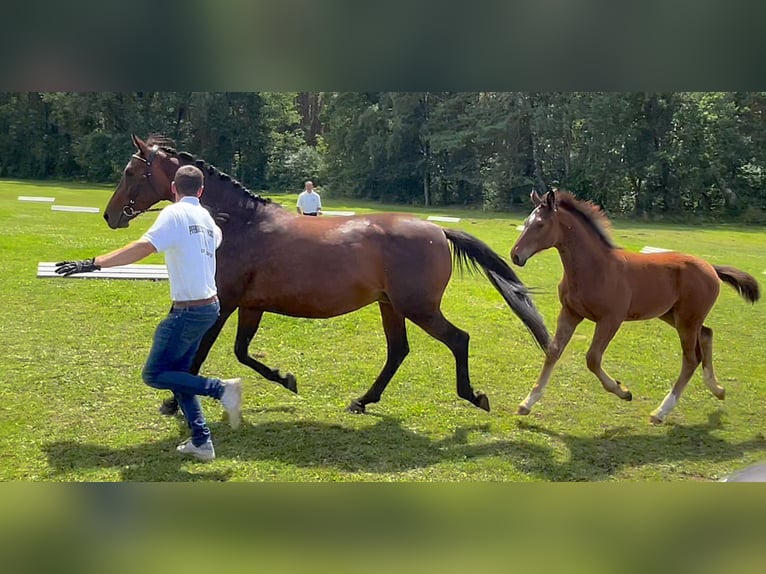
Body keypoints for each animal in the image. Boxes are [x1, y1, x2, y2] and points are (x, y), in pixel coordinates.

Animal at [102, 137, 552, 420]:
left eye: (130, 172)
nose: (110, 215)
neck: (238, 224)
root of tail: (438, 230)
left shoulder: (224, 301)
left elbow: (201, 353)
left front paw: (171, 404)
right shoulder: (249, 305)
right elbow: (242, 352)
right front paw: (287, 379)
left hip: (417, 307)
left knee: (458, 340)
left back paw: (473, 396)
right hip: (391, 306)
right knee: (398, 351)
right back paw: (363, 401)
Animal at [510, 189, 760, 424]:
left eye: (540, 224)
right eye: (526, 221)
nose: (515, 255)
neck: (595, 268)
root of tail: (711, 267)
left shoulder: (611, 319)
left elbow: (592, 358)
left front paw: (623, 391)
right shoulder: (570, 313)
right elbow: (553, 351)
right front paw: (526, 403)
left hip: (687, 320)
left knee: (691, 359)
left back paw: (661, 411)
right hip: (673, 315)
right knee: (707, 334)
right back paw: (717, 389)